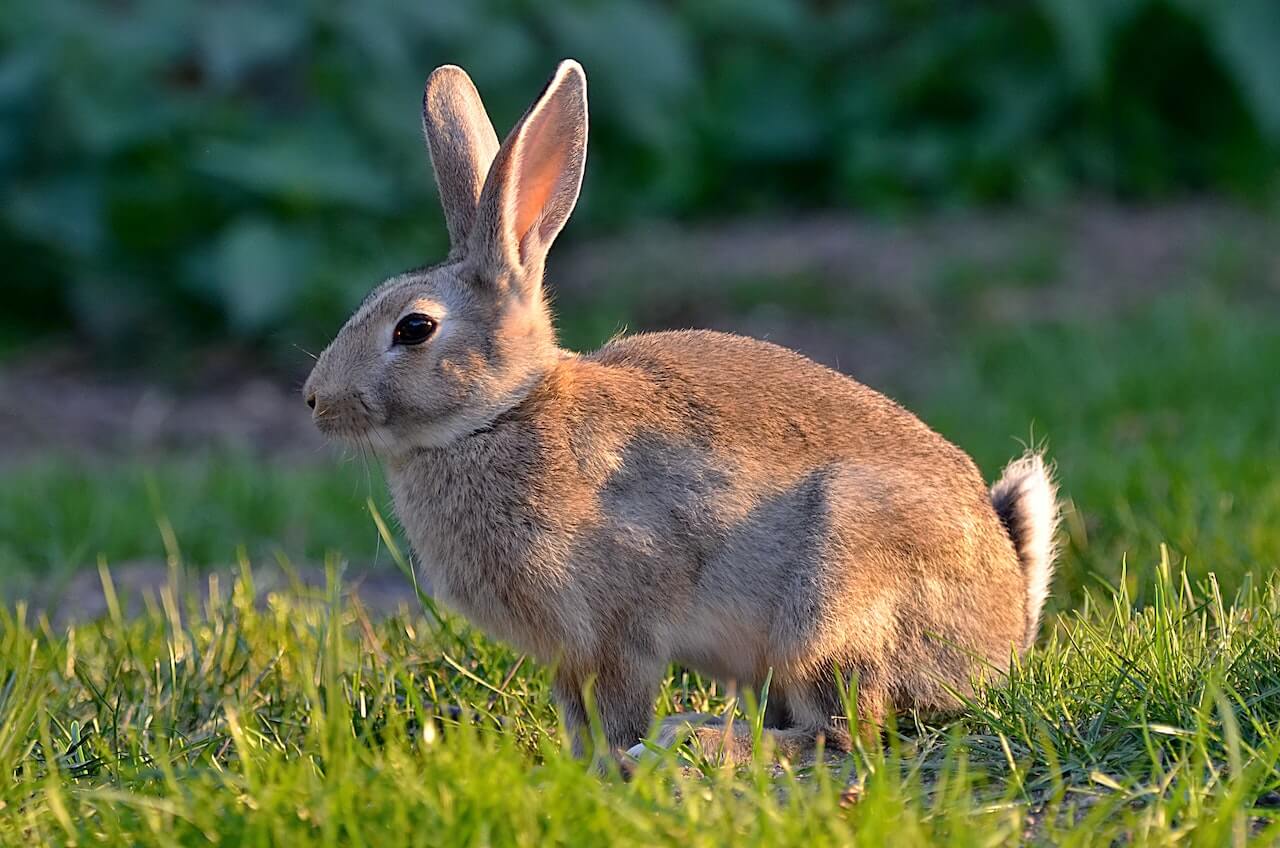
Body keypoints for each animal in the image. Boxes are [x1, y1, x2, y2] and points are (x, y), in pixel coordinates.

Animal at [302, 60, 1060, 764]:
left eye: (414, 329)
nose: (314, 400)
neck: (500, 414)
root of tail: (1007, 623)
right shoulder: (569, 654)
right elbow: (575, 712)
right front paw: (578, 764)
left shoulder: (620, 625)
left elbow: (620, 705)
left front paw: (617, 760)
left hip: (834, 597)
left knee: (842, 732)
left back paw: (694, 741)